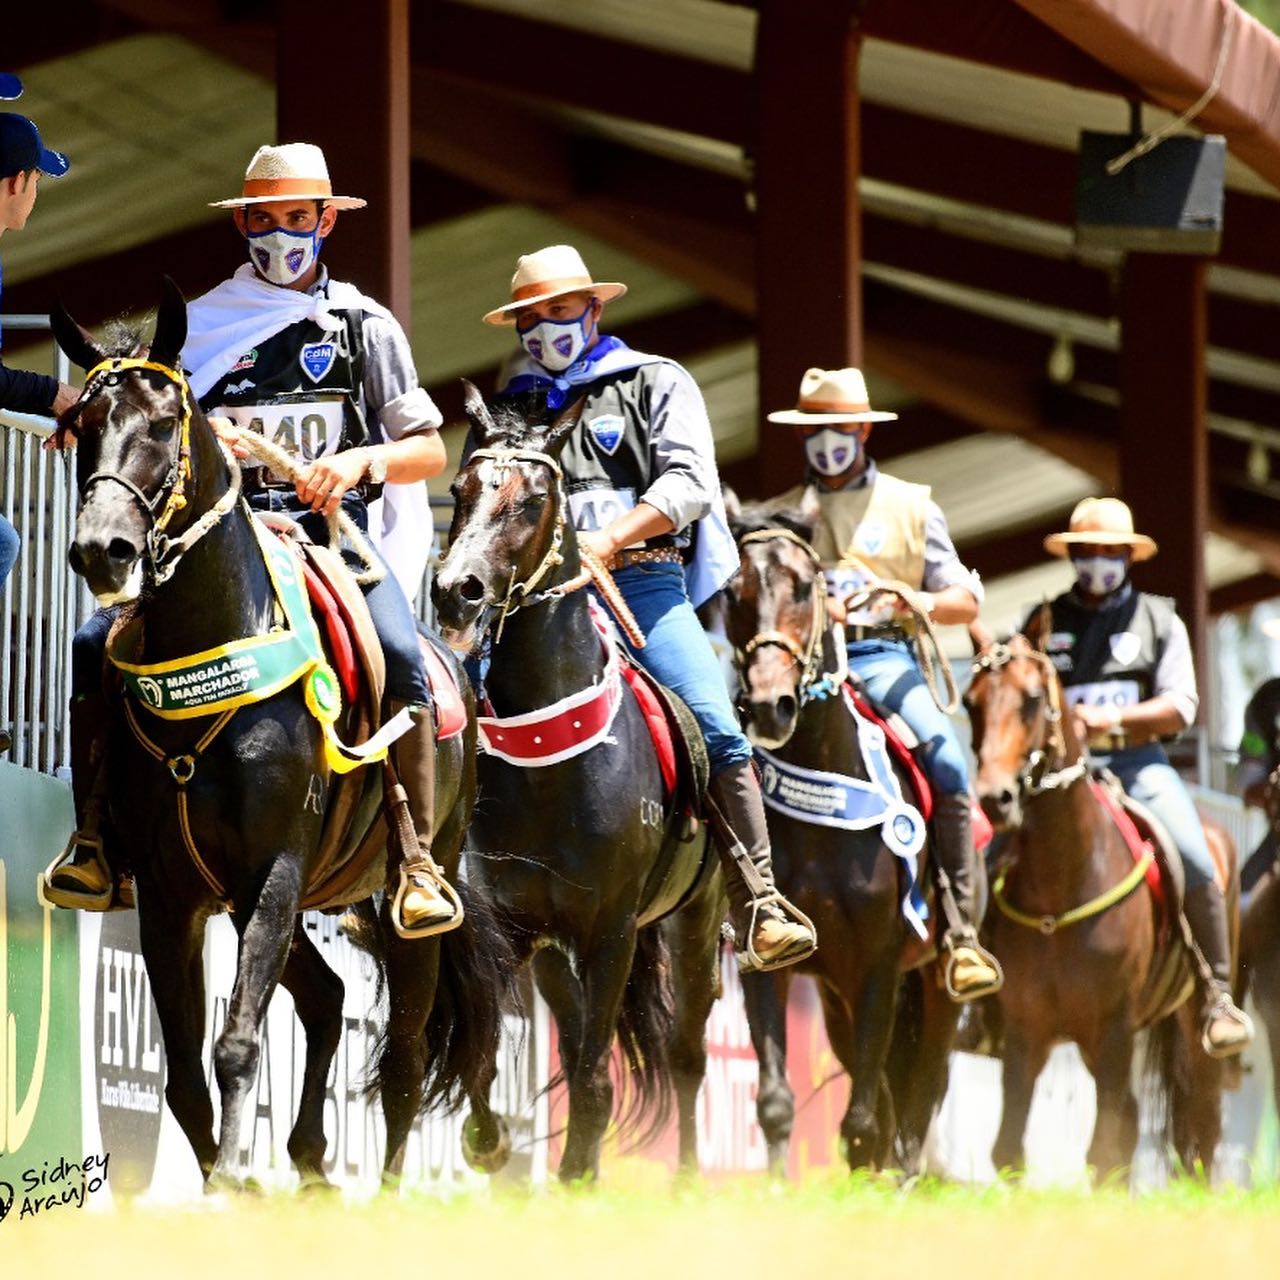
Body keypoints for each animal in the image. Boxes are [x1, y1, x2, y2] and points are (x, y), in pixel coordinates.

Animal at [49, 282, 509, 1187]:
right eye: (84, 424)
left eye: (166, 421)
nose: (100, 549)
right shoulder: (175, 894)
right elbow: (183, 1073)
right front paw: (232, 1179)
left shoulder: (273, 871)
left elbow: (236, 1045)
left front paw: (231, 1175)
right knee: (328, 1000)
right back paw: (307, 1160)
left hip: (403, 904)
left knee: (404, 1058)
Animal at [432, 384, 727, 1182]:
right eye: (460, 489)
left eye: (534, 498)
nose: (455, 591)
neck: (552, 758)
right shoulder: (514, 929)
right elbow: (483, 1049)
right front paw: (490, 1141)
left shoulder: (610, 933)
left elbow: (595, 1081)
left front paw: (576, 1177)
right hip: (557, 955)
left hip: (695, 923)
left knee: (686, 1055)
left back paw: (687, 1177)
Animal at [721, 494, 962, 1172]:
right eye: (732, 590)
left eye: (806, 586)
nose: (768, 704)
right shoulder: (770, 960)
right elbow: (779, 1099)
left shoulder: (880, 964)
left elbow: (862, 1121)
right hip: (836, 997)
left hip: (935, 987)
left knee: (920, 1093)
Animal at [967, 614, 1228, 1182]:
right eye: (972, 703)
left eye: (1032, 698)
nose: (995, 799)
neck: (1061, 889)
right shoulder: (1026, 1031)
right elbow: (1008, 1147)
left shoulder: (1112, 1030)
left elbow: (1105, 1148)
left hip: (1191, 1026)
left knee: (1202, 1120)